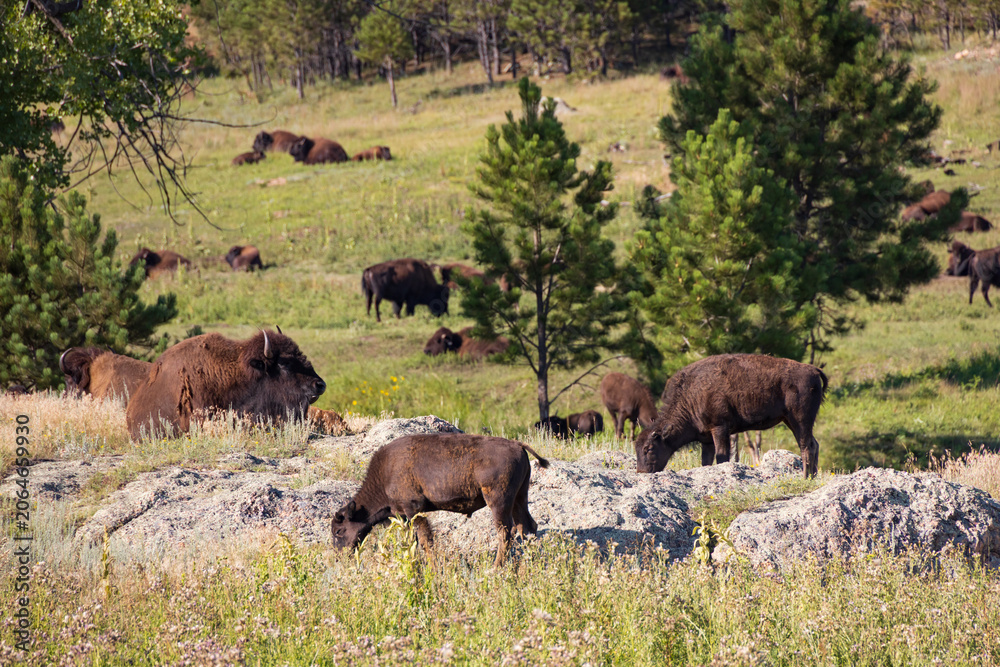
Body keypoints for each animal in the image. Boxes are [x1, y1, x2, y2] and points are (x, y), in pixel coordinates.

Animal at [330, 434, 549, 567]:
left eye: (339, 531)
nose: (339, 555)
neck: (385, 472)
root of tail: (517, 445)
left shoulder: (413, 509)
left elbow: (425, 540)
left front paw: (432, 567)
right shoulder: (405, 516)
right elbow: (414, 541)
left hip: (498, 502)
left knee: (505, 533)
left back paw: (496, 568)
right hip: (520, 497)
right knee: (527, 526)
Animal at [636, 354, 827, 479]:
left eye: (648, 448)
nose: (641, 472)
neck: (690, 395)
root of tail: (813, 370)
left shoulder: (720, 428)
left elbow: (722, 457)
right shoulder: (706, 439)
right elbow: (706, 461)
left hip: (800, 419)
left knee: (806, 447)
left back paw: (805, 478)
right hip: (791, 421)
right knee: (814, 444)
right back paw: (812, 478)